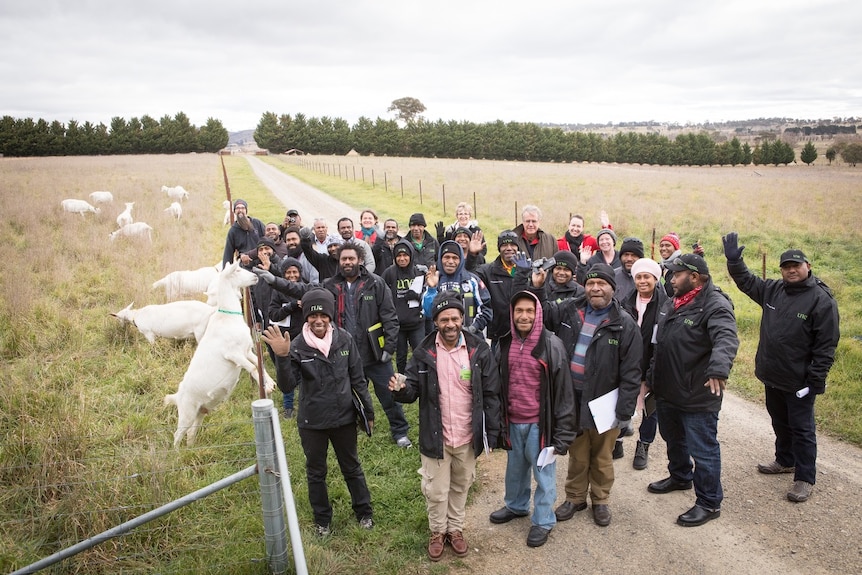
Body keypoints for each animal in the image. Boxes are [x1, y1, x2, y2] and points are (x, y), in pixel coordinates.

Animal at [160, 258, 272, 448]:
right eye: (237, 270)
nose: (255, 277)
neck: (227, 318)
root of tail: (177, 396)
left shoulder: (246, 350)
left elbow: (258, 364)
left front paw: (270, 383)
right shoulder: (233, 353)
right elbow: (252, 368)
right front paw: (266, 386)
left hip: (199, 412)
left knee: (191, 432)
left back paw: (191, 449)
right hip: (187, 412)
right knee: (178, 434)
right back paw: (177, 453)